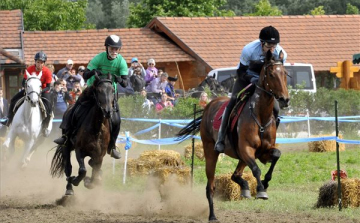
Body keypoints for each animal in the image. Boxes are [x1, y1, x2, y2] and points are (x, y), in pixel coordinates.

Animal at [177, 50, 290, 221]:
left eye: (285, 73)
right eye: (271, 74)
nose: (285, 99)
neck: (260, 116)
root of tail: (210, 104)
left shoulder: (263, 152)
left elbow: (276, 155)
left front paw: (265, 183)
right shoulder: (246, 149)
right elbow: (256, 169)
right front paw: (261, 190)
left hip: (241, 157)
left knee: (235, 175)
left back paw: (244, 187)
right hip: (211, 152)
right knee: (211, 186)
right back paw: (212, 215)